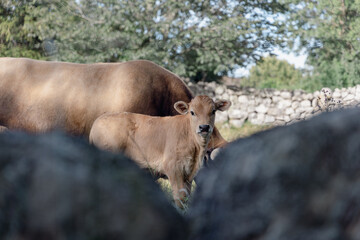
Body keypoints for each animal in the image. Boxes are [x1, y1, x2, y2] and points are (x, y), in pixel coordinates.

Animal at [89, 95, 231, 208]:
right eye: (192, 112)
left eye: (213, 111)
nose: (204, 127)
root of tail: (97, 122)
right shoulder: (173, 168)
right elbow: (179, 198)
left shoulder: (189, 174)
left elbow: (186, 197)